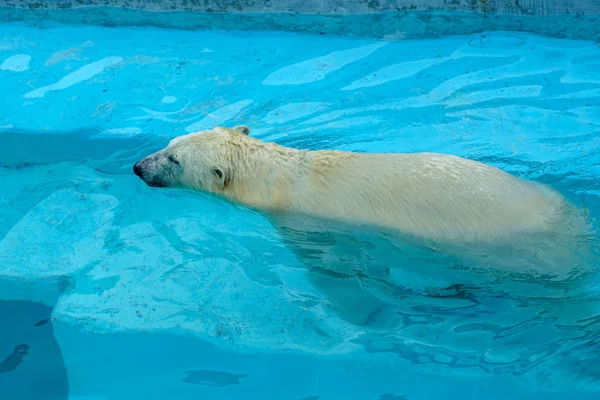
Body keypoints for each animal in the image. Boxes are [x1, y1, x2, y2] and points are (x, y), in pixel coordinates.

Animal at [132, 125, 596, 324]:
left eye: (173, 159)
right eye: (170, 143)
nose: (138, 167)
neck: (280, 175)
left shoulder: (304, 224)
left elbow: (334, 271)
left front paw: (364, 309)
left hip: (524, 258)